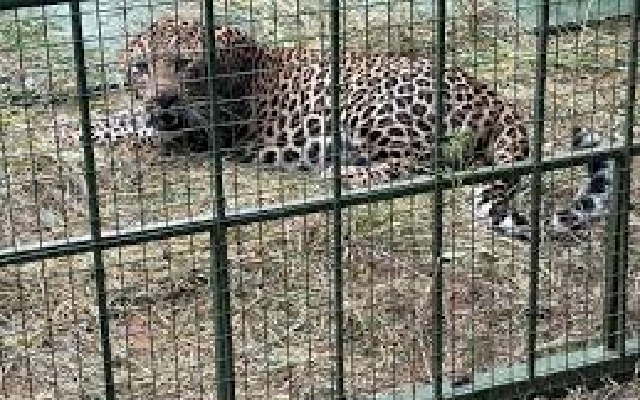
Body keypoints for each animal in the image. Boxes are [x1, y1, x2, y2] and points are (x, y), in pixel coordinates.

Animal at [83, 16, 614, 240]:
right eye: (139, 68)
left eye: (183, 65)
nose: (162, 96)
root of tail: (497, 97)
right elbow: (126, 119)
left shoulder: (199, 132)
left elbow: (129, 127)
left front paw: (90, 131)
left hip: (372, 107)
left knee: (418, 168)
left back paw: (340, 174)